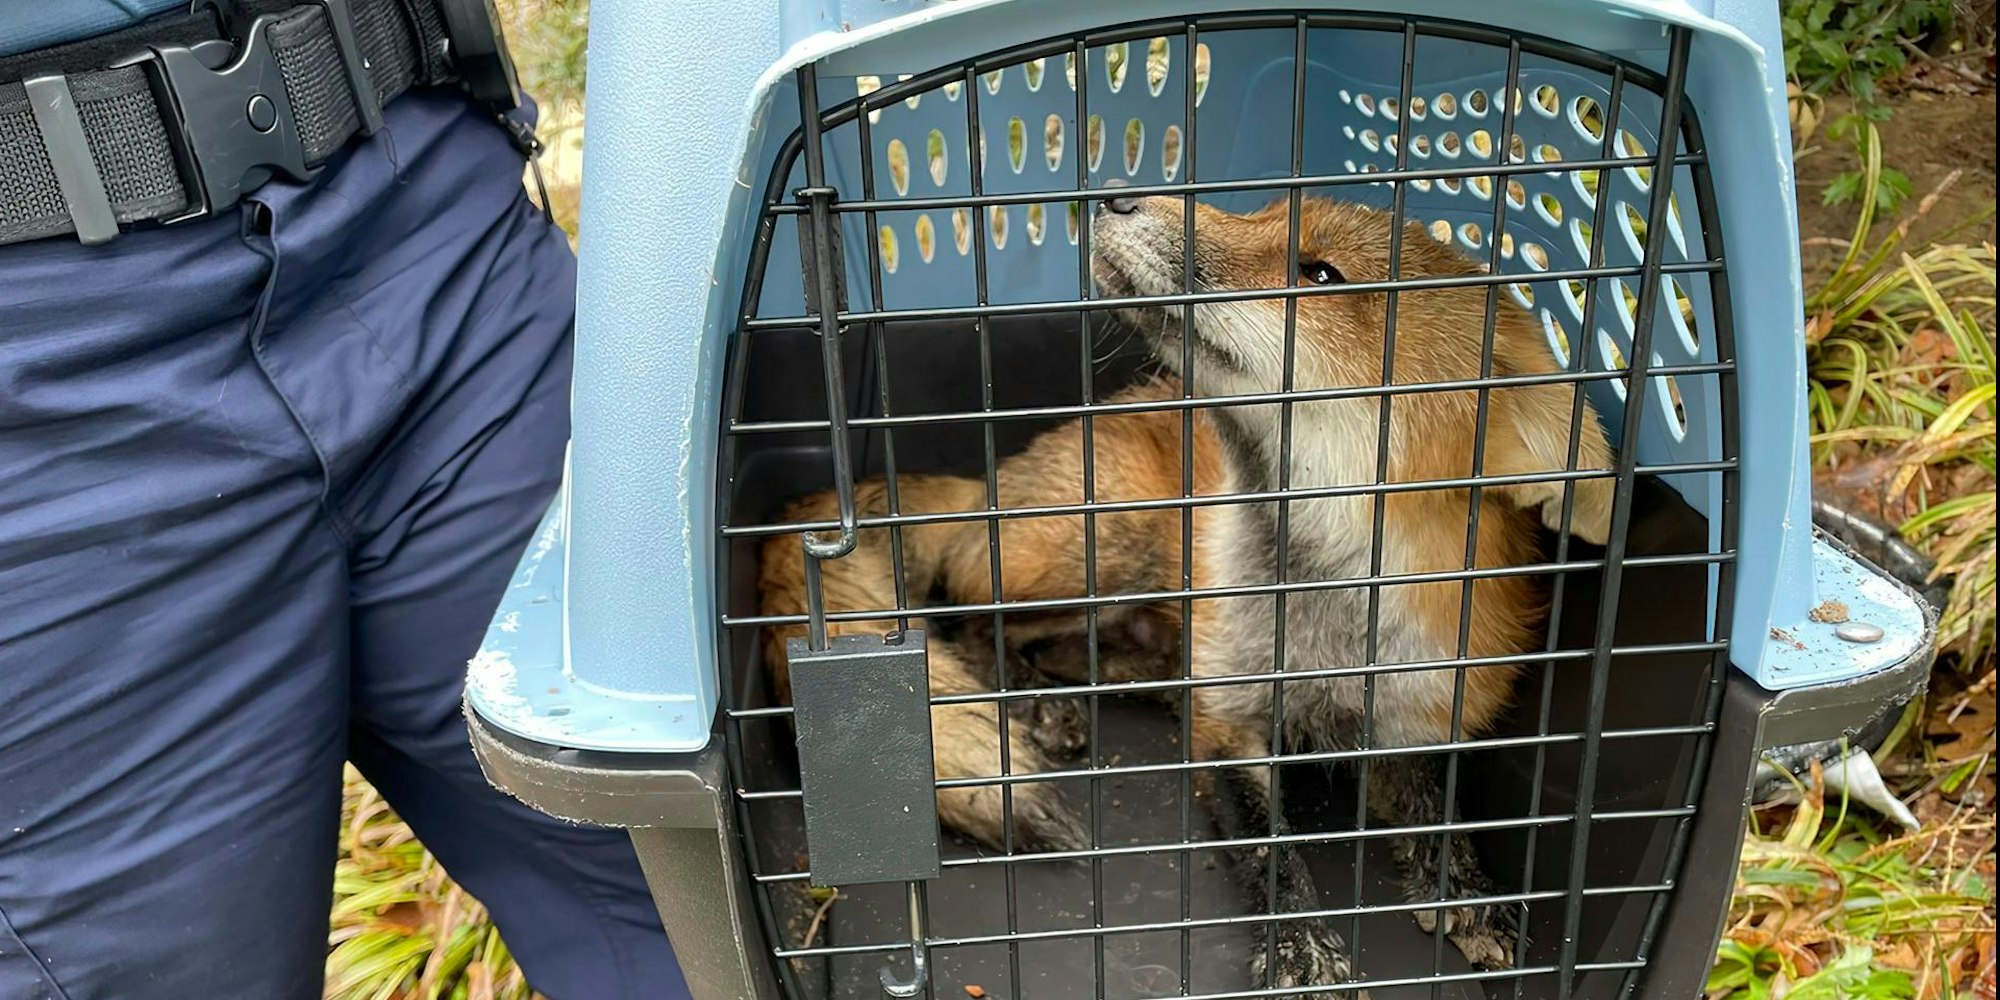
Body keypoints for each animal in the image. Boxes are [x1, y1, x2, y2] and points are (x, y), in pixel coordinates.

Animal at [757, 193, 1617, 993]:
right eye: (1262, 208)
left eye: (1321, 274)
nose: (1116, 194)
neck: (1321, 624)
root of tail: (992, 484)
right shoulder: (1229, 727)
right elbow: (1273, 848)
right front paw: (1301, 950)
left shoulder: (1414, 715)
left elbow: (1443, 812)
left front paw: (1468, 892)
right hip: (1108, 547)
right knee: (969, 618)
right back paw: (1039, 704)